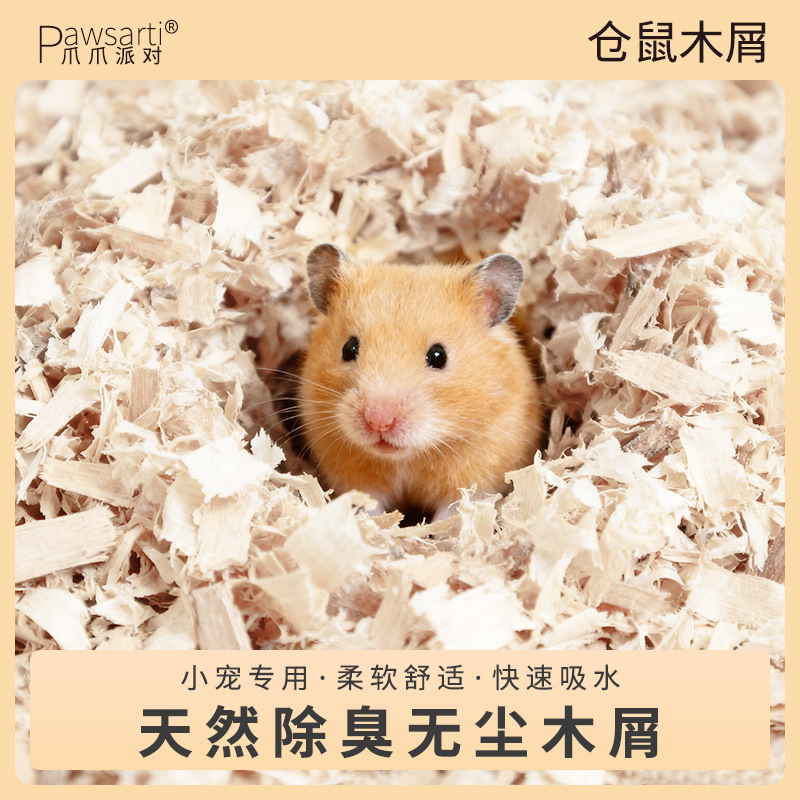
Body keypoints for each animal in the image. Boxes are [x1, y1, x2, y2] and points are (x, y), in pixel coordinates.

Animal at [298, 243, 543, 524]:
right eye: (349, 348)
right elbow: (368, 504)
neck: (407, 458)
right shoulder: (353, 475)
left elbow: (450, 515)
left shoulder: (475, 474)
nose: (379, 421)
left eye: (439, 356)